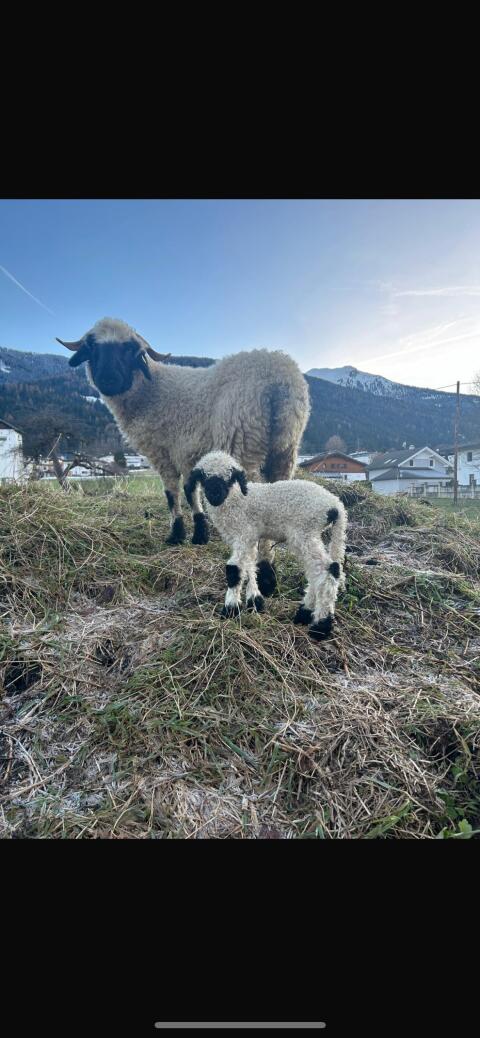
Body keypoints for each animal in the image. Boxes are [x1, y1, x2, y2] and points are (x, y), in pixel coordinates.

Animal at [56, 318, 310, 597]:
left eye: (129, 349)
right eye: (93, 347)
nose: (109, 379)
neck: (150, 392)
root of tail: (281, 379)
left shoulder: (165, 452)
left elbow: (173, 493)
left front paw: (177, 535)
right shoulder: (190, 454)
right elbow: (191, 490)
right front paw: (200, 534)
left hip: (243, 440)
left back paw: (261, 573)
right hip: (285, 450)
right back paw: (269, 571)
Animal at [184, 450, 347, 641]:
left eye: (230, 478)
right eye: (203, 477)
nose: (215, 495)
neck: (235, 501)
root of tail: (336, 506)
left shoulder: (244, 533)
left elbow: (234, 569)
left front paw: (230, 610)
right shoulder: (248, 537)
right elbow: (249, 566)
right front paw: (254, 601)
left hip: (303, 532)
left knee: (327, 570)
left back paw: (321, 626)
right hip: (309, 536)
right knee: (317, 574)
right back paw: (305, 613)